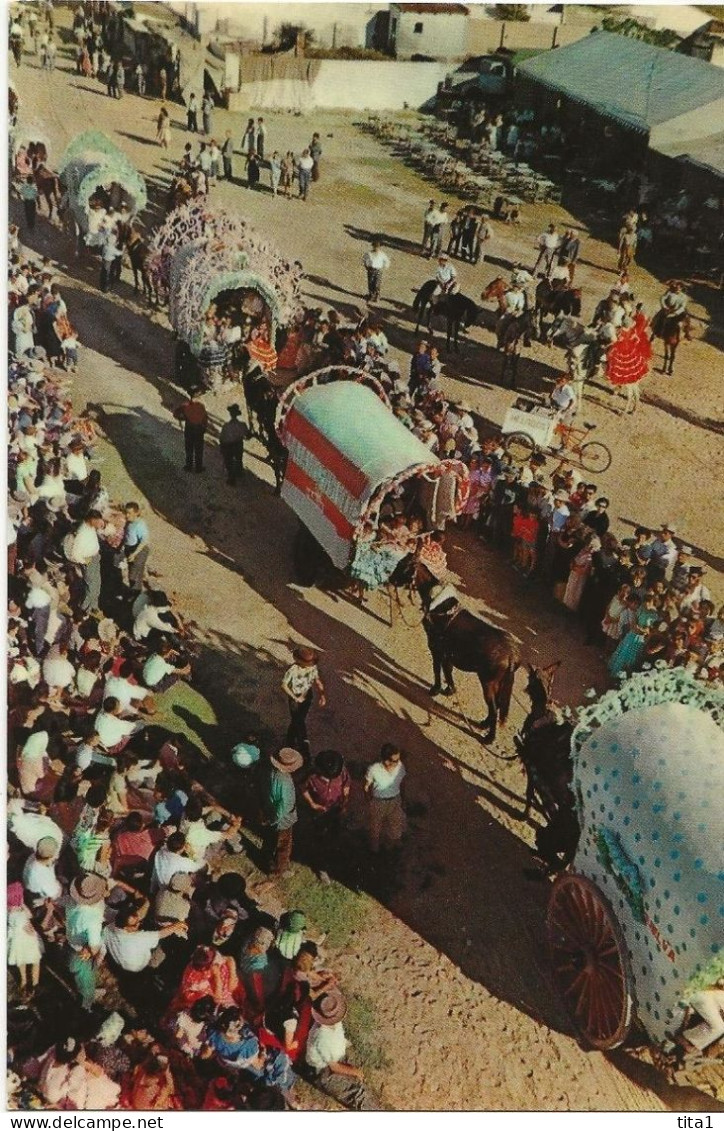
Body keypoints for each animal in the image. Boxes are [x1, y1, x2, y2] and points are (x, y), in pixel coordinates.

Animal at [411, 563, 520, 741]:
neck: (441, 606)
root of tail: (511, 654)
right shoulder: (447, 655)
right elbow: (448, 673)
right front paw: (449, 691)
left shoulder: (436, 649)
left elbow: (437, 670)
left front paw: (435, 690)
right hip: (498, 683)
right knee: (496, 707)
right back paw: (484, 724)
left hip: (488, 682)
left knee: (493, 707)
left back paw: (489, 737)